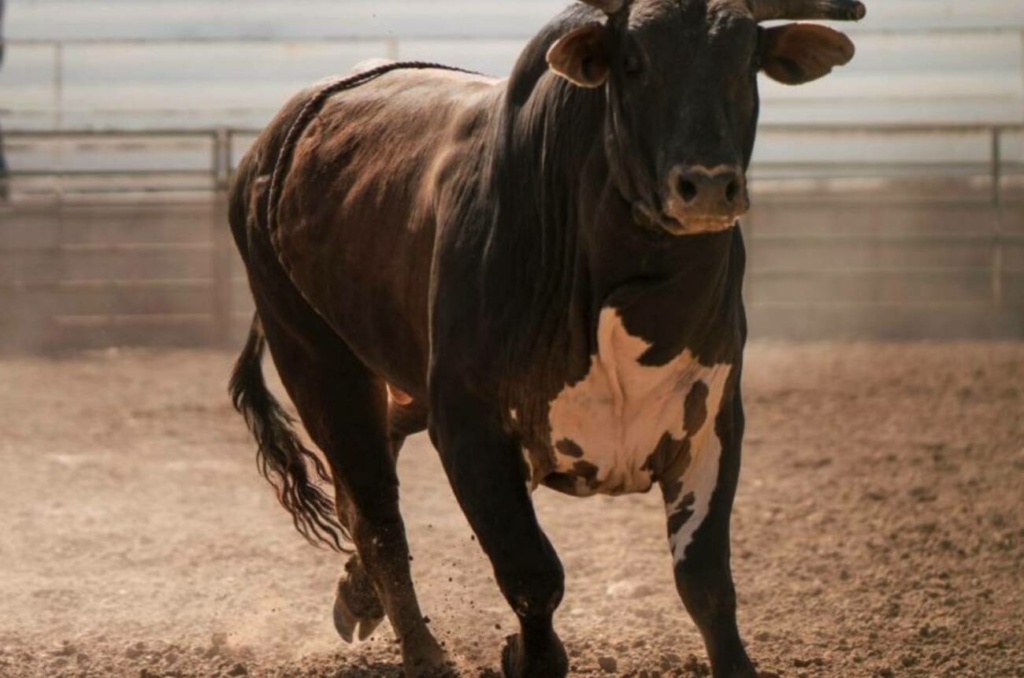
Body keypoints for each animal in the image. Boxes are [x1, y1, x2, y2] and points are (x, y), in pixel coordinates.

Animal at [226, 1, 864, 678]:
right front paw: (527, 655)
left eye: (747, 60)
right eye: (632, 62)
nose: (710, 185)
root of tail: (275, 144)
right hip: (316, 358)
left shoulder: (713, 422)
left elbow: (706, 581)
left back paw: (358, 597)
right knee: (377, 515)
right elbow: (532, 574)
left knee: (372, 476)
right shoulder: (471, 428)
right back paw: (423, 653)